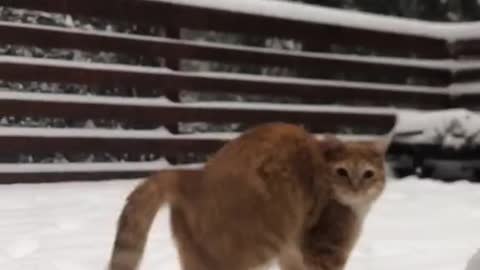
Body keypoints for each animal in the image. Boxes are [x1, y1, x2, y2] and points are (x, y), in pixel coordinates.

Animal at [107, 123, 388, 270]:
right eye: (342, 172)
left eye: (368, 174)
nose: (356, 187)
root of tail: (195, 176)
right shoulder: (323, 251)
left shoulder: (292, 254)